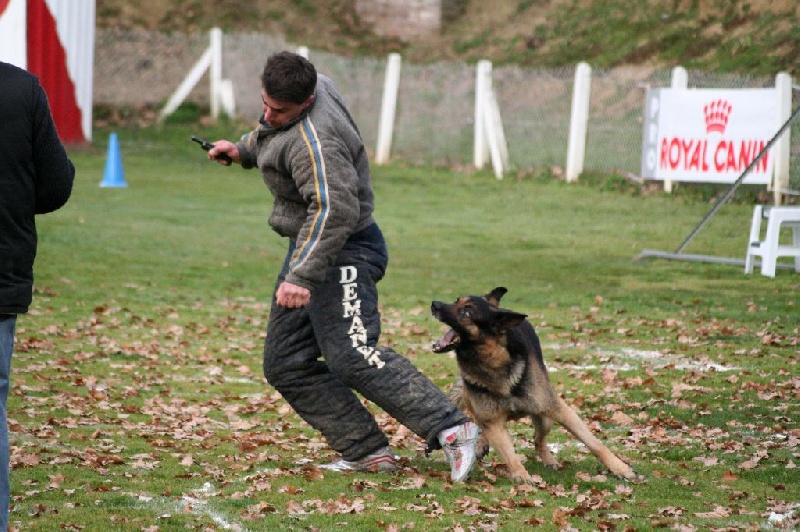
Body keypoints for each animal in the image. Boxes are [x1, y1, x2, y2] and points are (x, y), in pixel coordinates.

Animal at [432, 288, 636, 484]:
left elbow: (593, 442)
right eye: (457, 300)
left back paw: (549, 460)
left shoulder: (559, 408)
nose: (435, 304)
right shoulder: (493, 422)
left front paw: (620, 468)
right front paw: (521, 476)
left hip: (544, 418)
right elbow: (509, 454)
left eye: (467, 311)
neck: (493, 360)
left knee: (539, 440)